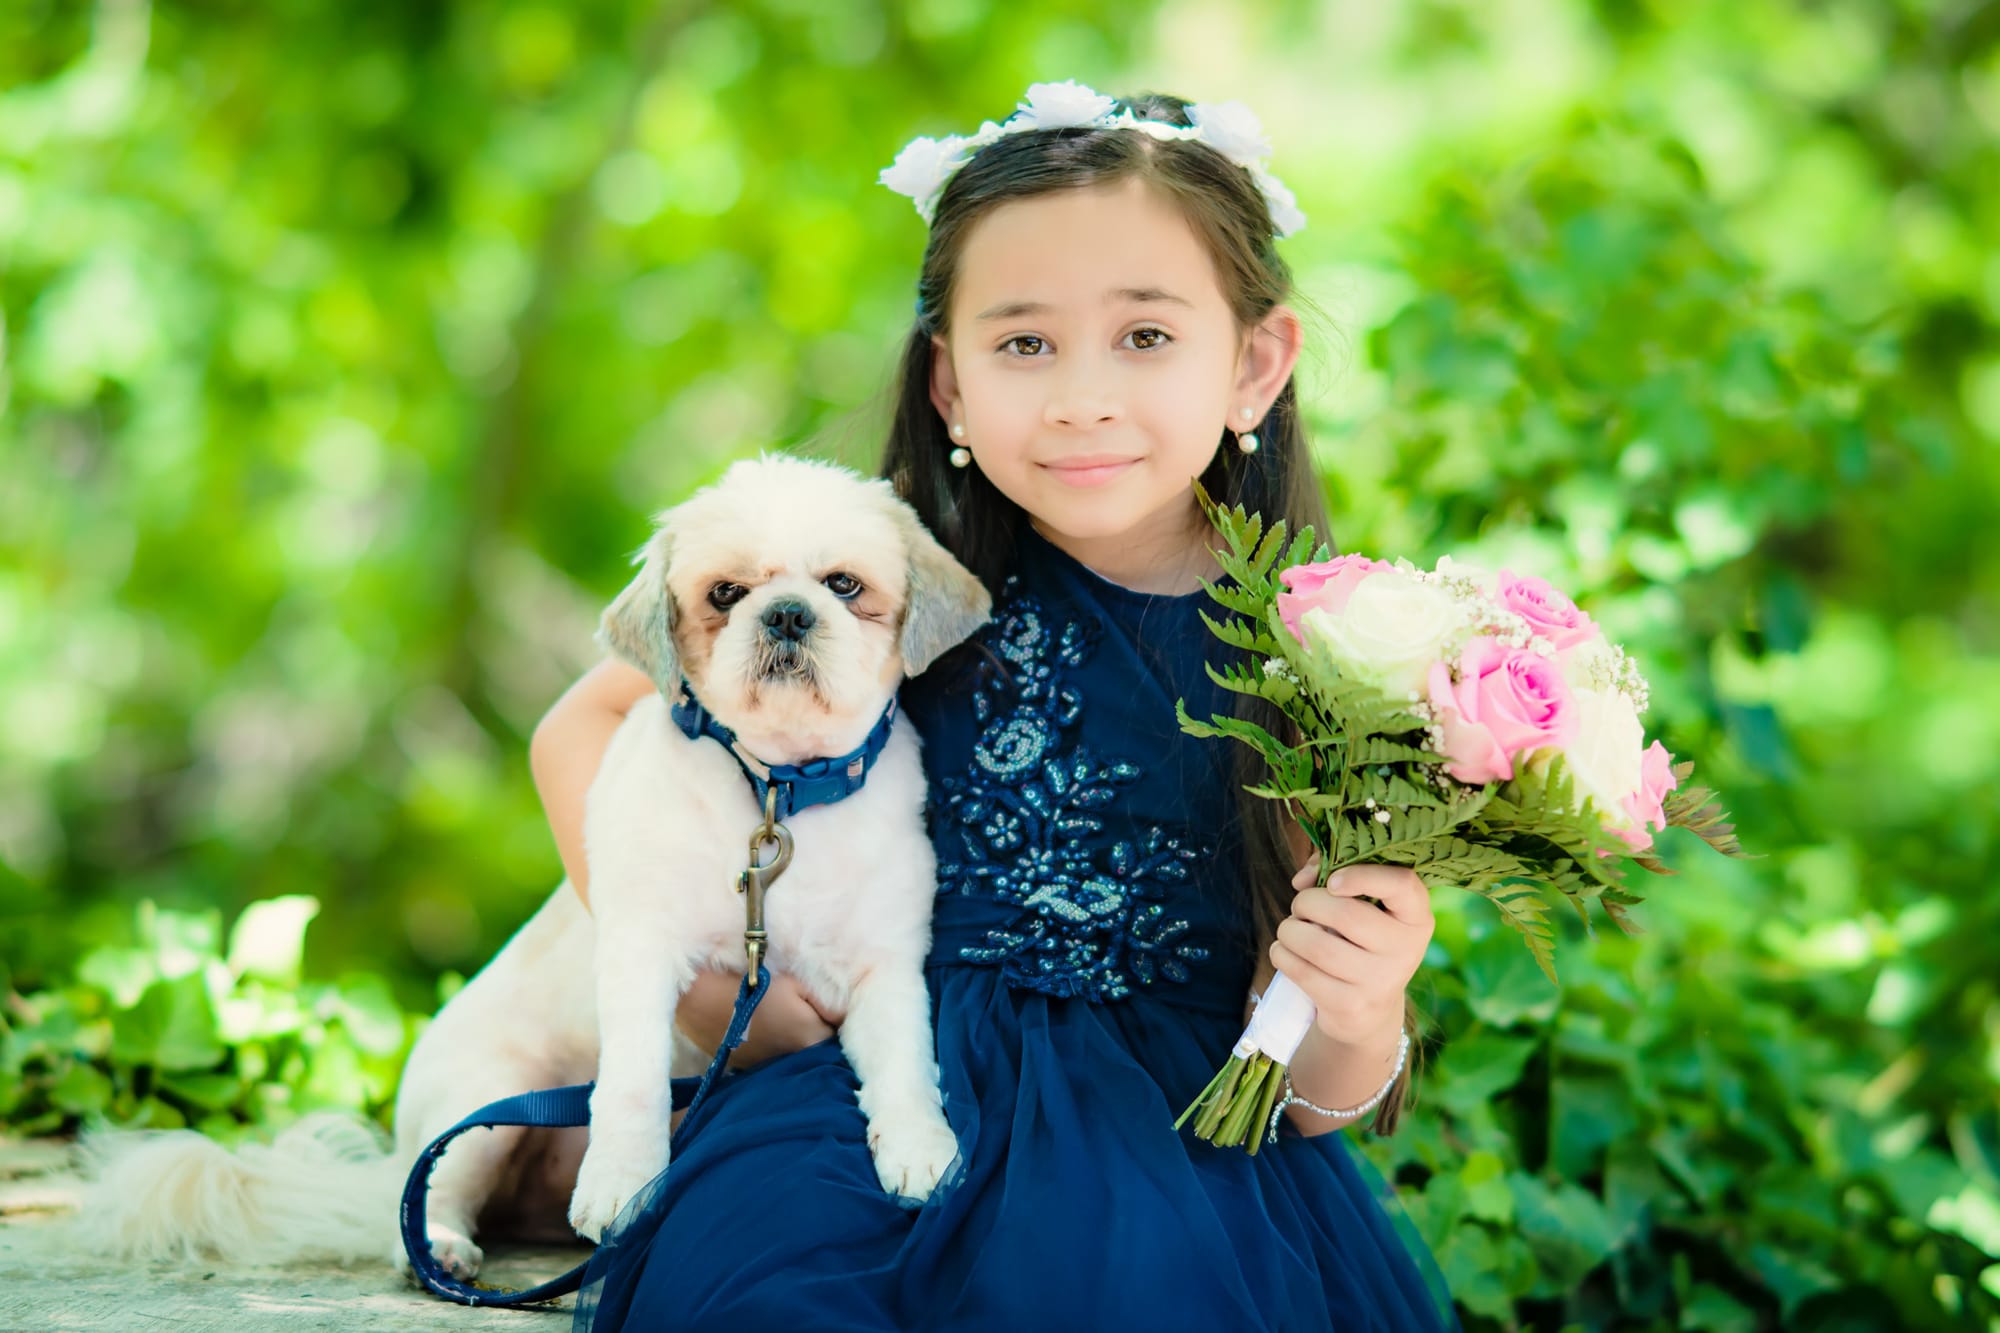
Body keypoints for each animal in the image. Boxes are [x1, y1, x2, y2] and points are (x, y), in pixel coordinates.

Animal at [76, 454, 992, 1280]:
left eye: (844, 584)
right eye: (726, 595)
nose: (789, 614)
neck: (780, 793)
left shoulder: (884, 970)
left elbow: (907, 1069)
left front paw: (923, 1149)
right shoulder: (644, 956)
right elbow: (631, 1083)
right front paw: (621, 1182)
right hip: (486, 1106)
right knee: (431, 1193)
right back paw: (440, 1244)